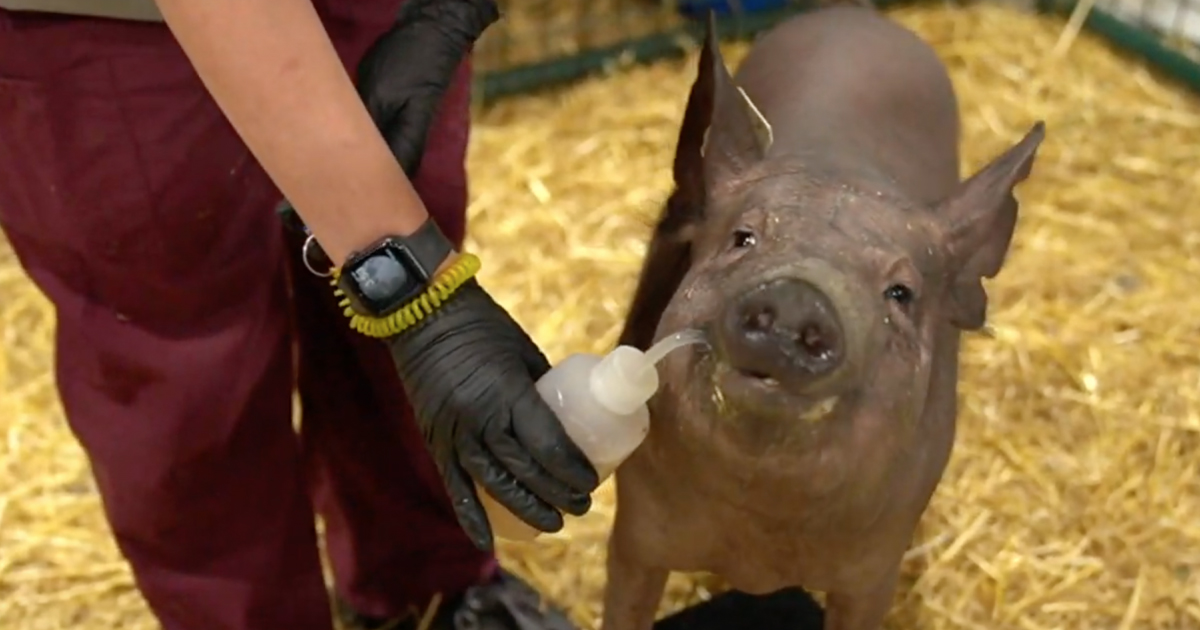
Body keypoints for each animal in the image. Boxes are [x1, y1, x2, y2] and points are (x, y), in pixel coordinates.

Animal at [602, 6, 1045, 630]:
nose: (798, 296)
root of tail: (859, 17)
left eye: (901, 292)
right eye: (743, 238)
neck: (755, 536)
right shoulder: (637, 530)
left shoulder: (875, 567)